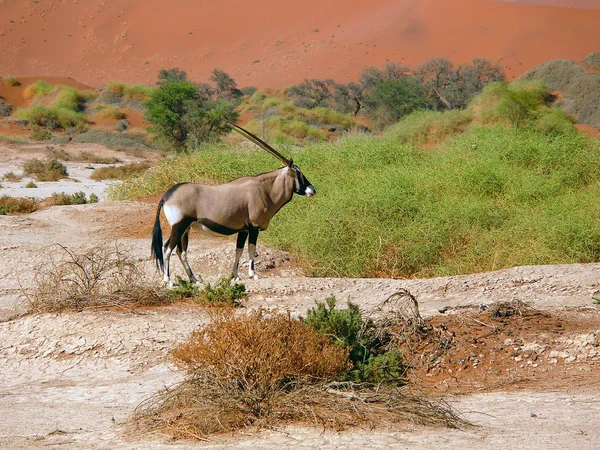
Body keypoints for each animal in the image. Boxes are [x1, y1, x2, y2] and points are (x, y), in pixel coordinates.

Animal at [151, 123, 314, 284]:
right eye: (299, 174)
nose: (312, 190)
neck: (265, 190)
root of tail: (167, 195)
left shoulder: (244, 230)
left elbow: (239, 250)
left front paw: (235, 275)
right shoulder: (253, 228)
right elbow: (252, 249)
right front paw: (252, 274)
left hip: (186, 229)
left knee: (181, 251)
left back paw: (194, 279)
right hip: (179, 226)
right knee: (167, 248)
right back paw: (167, 280)